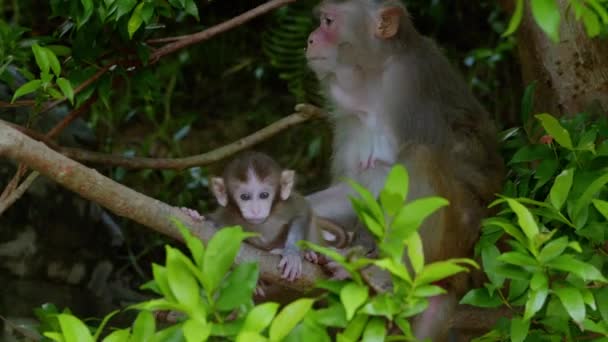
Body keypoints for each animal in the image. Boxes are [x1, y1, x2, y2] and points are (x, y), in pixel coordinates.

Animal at [180, 152, 346, 280]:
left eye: (264, 195)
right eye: (245, 197)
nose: (255, 210)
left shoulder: (284, 206)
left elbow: (302, 212)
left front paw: (292, 253)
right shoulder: (227, 213)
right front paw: (195, 215)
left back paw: (310, 254)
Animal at [304, 0, 504, 340]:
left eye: (328, 21)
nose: (310, 39)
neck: (373, 83)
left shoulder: (411, 84)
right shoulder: (349, 117)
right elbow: (354, 189)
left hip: (454, 246)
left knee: (419, 158)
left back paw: (393, 275)